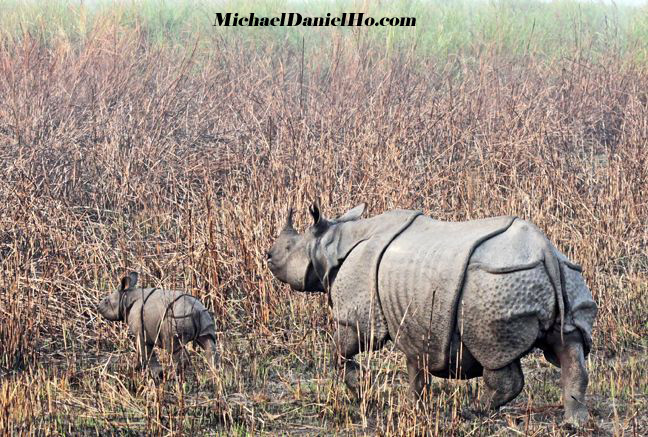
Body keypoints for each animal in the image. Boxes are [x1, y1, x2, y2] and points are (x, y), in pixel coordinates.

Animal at [264, 204, 596, 426]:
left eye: (289, 248)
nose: (267, 256)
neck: (331, 244)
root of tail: (545, 253)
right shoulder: (415, 320)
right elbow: (416, 368)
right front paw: (413, 407)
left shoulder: (359, 313)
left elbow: (342, 349)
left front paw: (360, 386)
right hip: (565, 274)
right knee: (569, 345)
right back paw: (575, 423)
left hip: (497, 283)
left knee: (496, 356)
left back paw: (471, 412)